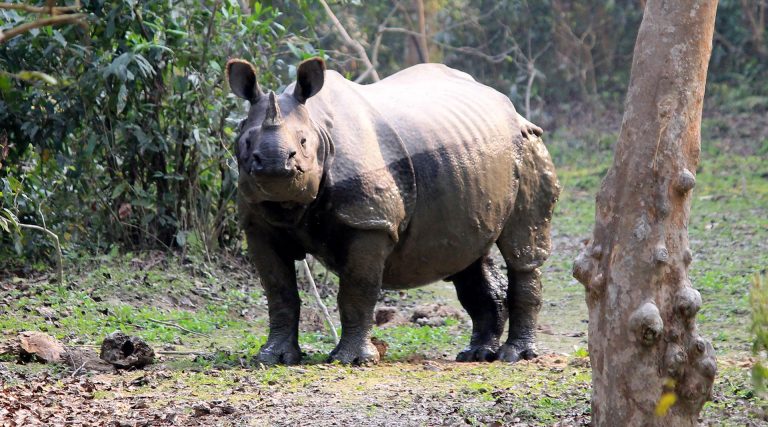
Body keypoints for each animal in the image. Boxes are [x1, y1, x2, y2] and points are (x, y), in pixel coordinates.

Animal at [226, 57, 560, 365]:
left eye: (304, 141)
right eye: (245, 140)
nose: (274, 163)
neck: (320, 127)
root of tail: (512, 108)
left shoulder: (370, 221)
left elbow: (357, 290)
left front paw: (352, 360)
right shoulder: (258, 226)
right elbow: (278, 291)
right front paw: (272, 357)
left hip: (528, 146)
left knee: (521, 251)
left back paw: (514, 355)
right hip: (468, 161)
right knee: (467, 253)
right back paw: (476, 354)